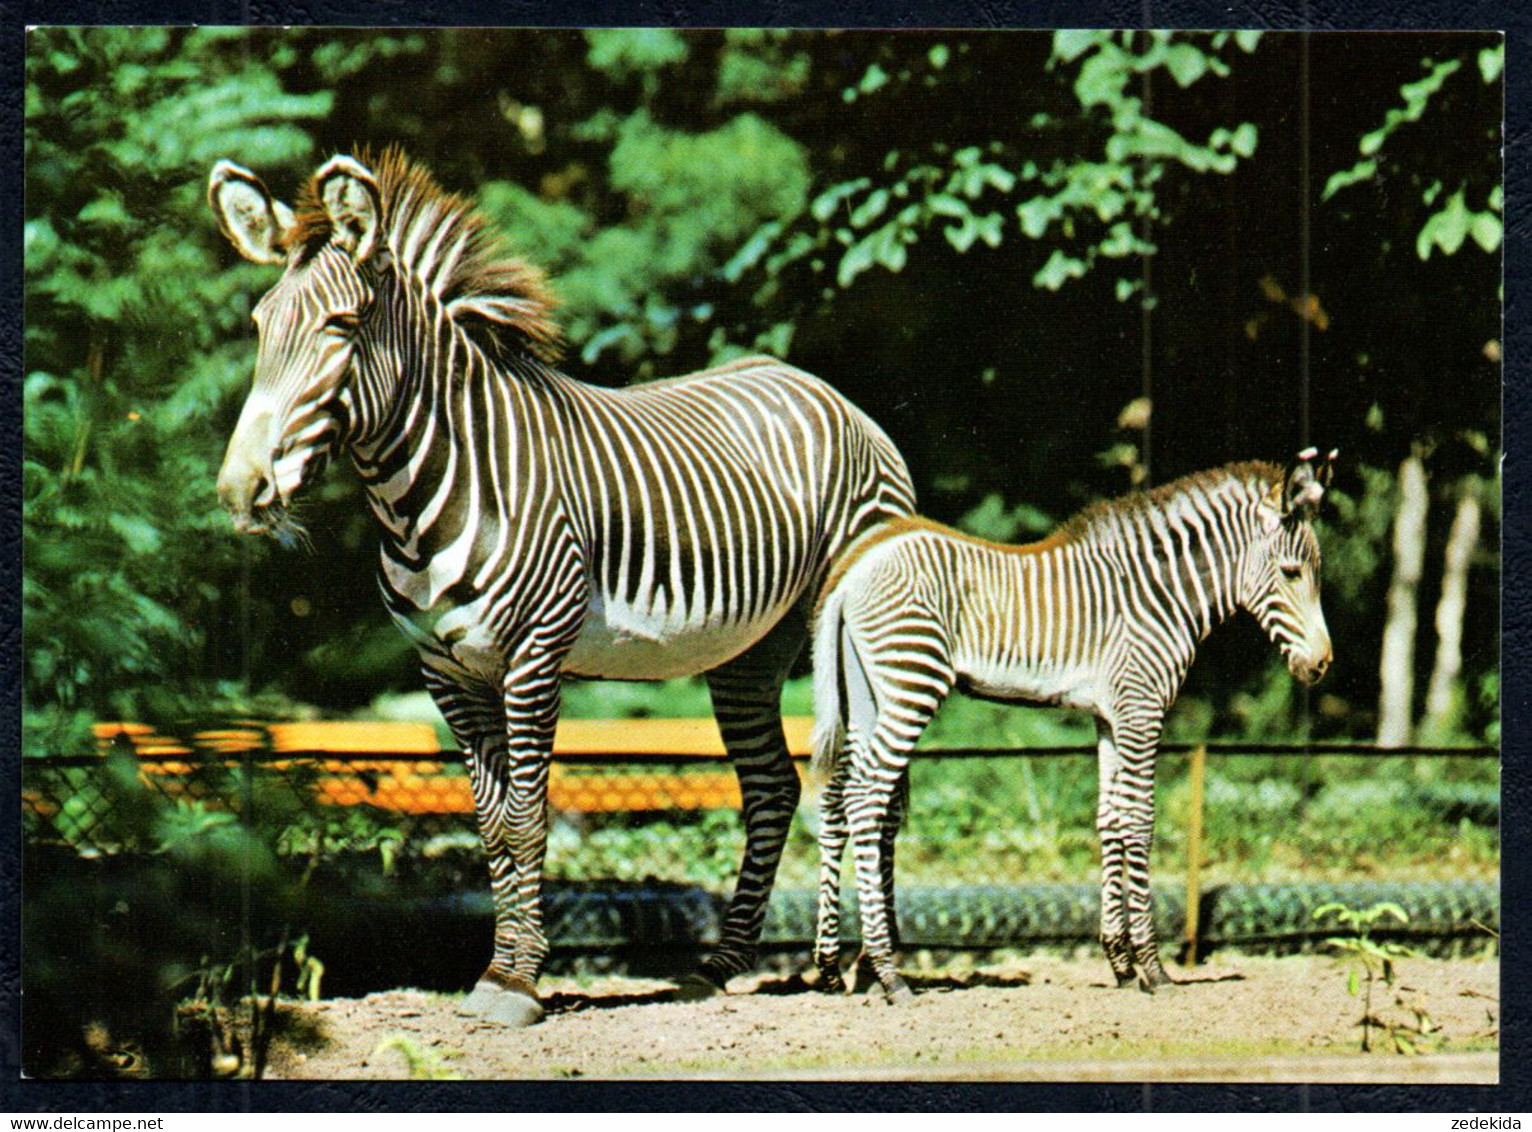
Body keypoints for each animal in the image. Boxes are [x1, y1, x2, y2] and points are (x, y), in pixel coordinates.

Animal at [808, 450, 1335, 998]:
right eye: (1291, 572)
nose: (1322, 665)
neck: (1158, 594)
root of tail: (856, 564)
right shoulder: (1142, 709)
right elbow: (1140, 822)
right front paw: (1153, 968)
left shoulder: (1110, 717)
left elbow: (1110, 819)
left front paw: (1120, 962)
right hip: (911, 683)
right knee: (867, 801)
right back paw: (888, 973)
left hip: (866, 697)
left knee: (839, 800)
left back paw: (834, 967)